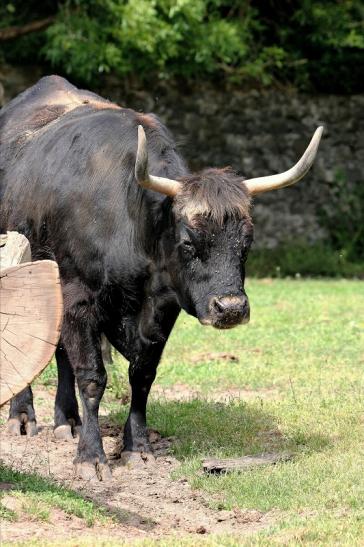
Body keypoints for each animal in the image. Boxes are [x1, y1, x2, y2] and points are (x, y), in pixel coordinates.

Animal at [0, 77, 322, 480]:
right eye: (188, 242)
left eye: (246, 243)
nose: (231, 308)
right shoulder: (77, 295)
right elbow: (91, 376)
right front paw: (91, 456)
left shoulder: (162, 307)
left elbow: (142, 375)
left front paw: (137, 447)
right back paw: (22, 416)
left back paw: (67, 421)